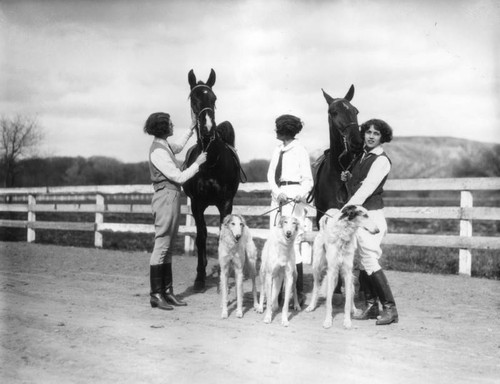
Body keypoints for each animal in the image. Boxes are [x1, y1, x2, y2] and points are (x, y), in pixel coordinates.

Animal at [183, 68, 241, 292]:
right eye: (193, 99)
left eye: (214, 98)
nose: (208, 127)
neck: (210, 162)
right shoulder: (197, 204)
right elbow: (200, 237)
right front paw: (199, 278)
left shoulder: (225, 202)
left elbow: (223, 235)